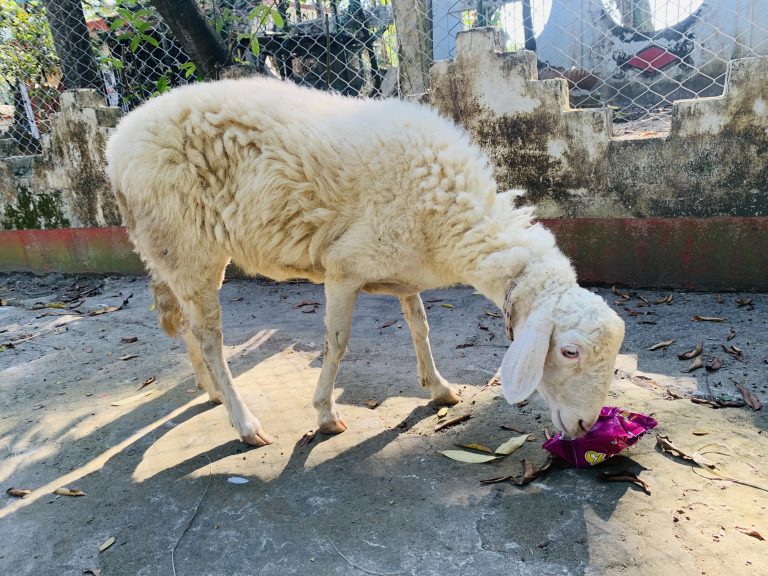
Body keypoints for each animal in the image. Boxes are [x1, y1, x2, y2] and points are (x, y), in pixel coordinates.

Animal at [106, 76, 624, 446]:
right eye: (569, 351)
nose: (585, 425)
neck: (451, 223)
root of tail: (116, 145)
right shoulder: (344, 269)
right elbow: (337, 344)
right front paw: (324, 413)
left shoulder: (403, 272)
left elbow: (420, 326)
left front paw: (438, 387)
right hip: (186, 242)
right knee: (210, 337)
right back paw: (244, 422)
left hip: (174, 252)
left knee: (189, 325)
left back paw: (210, 390)